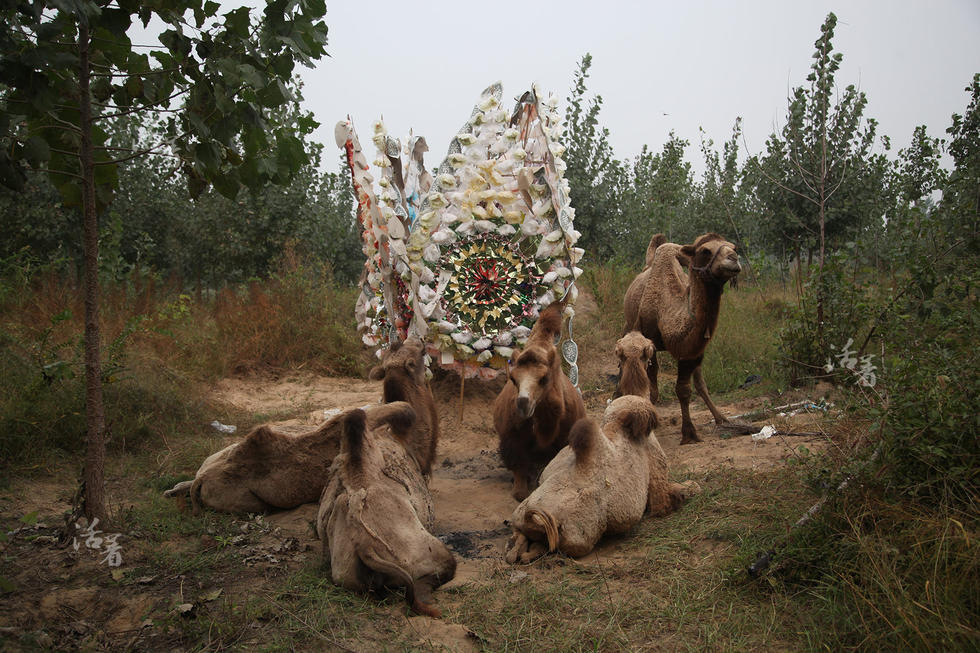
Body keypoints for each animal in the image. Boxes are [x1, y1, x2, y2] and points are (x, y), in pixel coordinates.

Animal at [494, 300, 584, 500]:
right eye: (513, 379)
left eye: (544, 378)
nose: (522, 403)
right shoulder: (512, 438)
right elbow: (519, 469)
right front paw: (520, 489)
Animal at [502, 394, 700, 564]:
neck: (619, 427)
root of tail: (536, 521)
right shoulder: (657, 474)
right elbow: (668, 498)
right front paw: (691, 488)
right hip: (579, 540)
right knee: (551, 547)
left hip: (521, 516)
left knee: (522, 539)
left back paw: (515, 551)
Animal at [624, 230, 740, 444]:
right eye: (705, 250)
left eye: (734, 247)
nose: (734, 259)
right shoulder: (649, 342)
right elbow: (653, 386)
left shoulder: (693, 350)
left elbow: (684, 389)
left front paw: (689, 433)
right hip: (629, 325)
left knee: (700, 383)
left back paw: (720, 418)